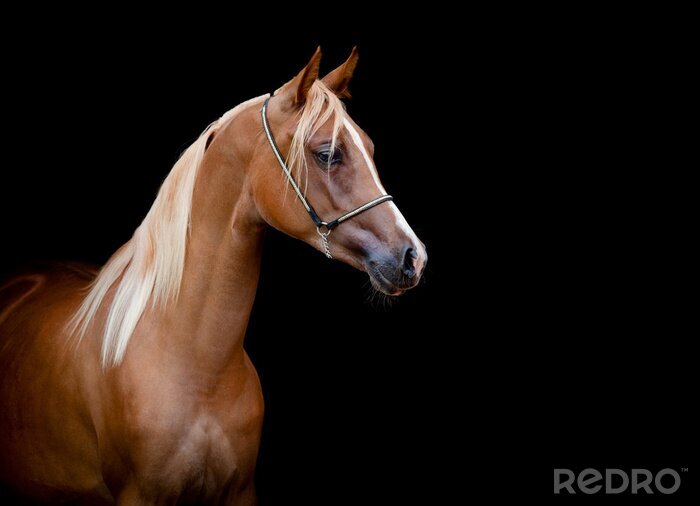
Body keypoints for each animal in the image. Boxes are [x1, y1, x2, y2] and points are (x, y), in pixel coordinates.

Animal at [0, 47, 426, 505]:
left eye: (370, 148)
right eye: (328, 153)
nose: (413, 257)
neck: (199, 368)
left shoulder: (240, 492)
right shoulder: (140, 494)